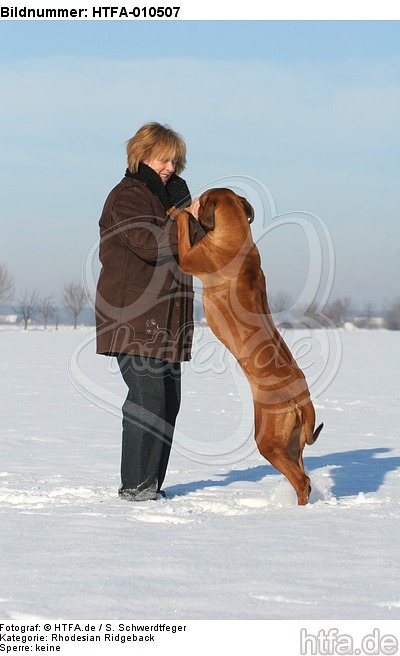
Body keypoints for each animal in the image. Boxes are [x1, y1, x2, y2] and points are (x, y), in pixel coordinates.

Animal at [173, 187, 324, 504]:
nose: (191, 199)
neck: (237, 236)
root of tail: (301, 398)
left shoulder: (190, 258)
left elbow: (182, 230)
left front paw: (177, 211)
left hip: (268, 440)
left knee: (301, 480)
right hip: (293, 443)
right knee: (302, 473)